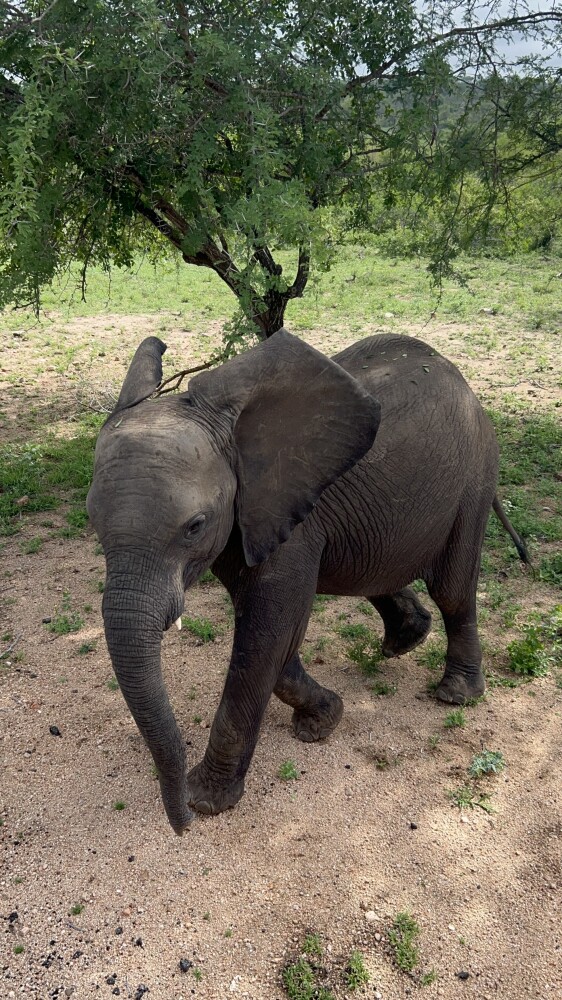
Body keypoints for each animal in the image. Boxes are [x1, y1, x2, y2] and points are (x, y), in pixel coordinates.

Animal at [86, 329, 527, 834]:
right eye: (92, 519)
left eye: (195, 526)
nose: (182, 827)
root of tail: (461, 379)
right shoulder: (251, 519)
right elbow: (273, 639)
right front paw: (323, 721)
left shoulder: (287, 522)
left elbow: (266, 635)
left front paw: (207, 799)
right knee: (372, 570)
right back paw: (406, 639)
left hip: (475, 473)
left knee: (453, 589)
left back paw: (456, 694)